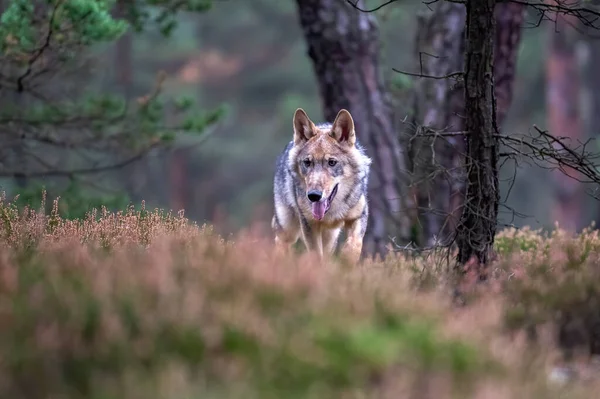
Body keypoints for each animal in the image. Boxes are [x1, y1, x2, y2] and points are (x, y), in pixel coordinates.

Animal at [270, 108, 370, 262]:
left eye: (332, 162)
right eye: (307, 162)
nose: (313, 196)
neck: (332, 212)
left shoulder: (359, 215)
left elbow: (354, 244)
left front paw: (346, 261)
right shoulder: (309, 225)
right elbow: (316, 256)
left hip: (330, 237)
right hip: (288, 229)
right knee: (280, 244)